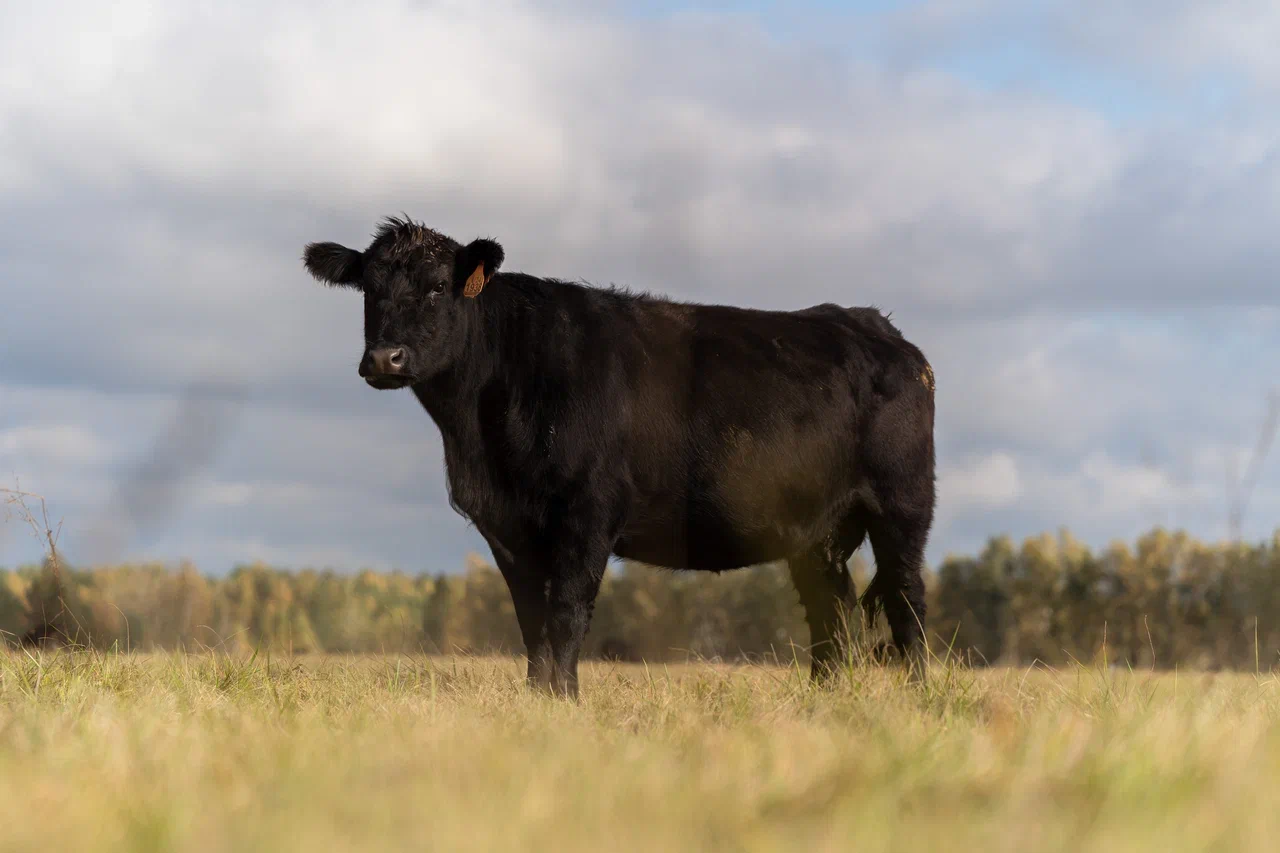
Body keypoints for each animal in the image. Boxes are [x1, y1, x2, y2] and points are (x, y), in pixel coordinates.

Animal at [304, 216, 936, 696]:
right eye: (369, 290)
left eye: (438, 286)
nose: (385, 358)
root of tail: (873, 324)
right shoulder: (505, 523)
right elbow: (532, 620)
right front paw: (538, 701)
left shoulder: (590, 509)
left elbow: (567, 615)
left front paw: (564, 703)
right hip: (816, 532)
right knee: (834, 613)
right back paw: (826, 701)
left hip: (902, 504)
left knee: (907, 601)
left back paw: (918, 699)